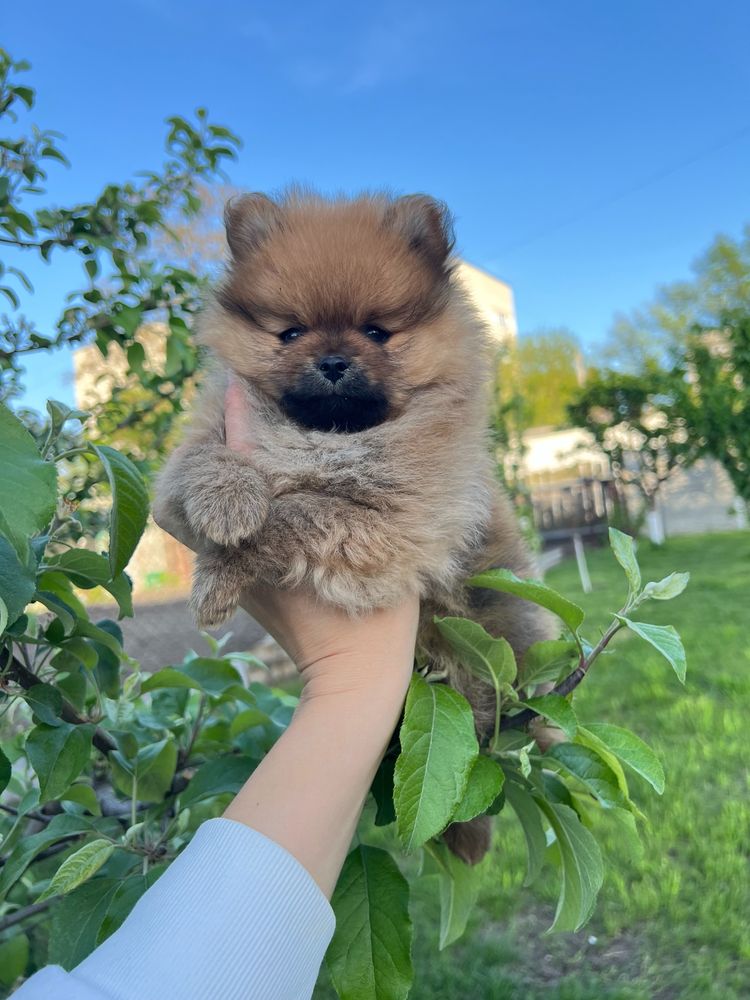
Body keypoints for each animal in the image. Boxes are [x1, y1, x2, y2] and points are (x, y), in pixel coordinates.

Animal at [154, 191, 552, 864]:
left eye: (376, 332)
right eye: (290, 332)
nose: (334, 360)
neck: (328, 438)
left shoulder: (387, 522)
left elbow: (297, 513)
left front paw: (221, 571)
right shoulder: (200, 446)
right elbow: (199, 462)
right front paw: (226, 500)